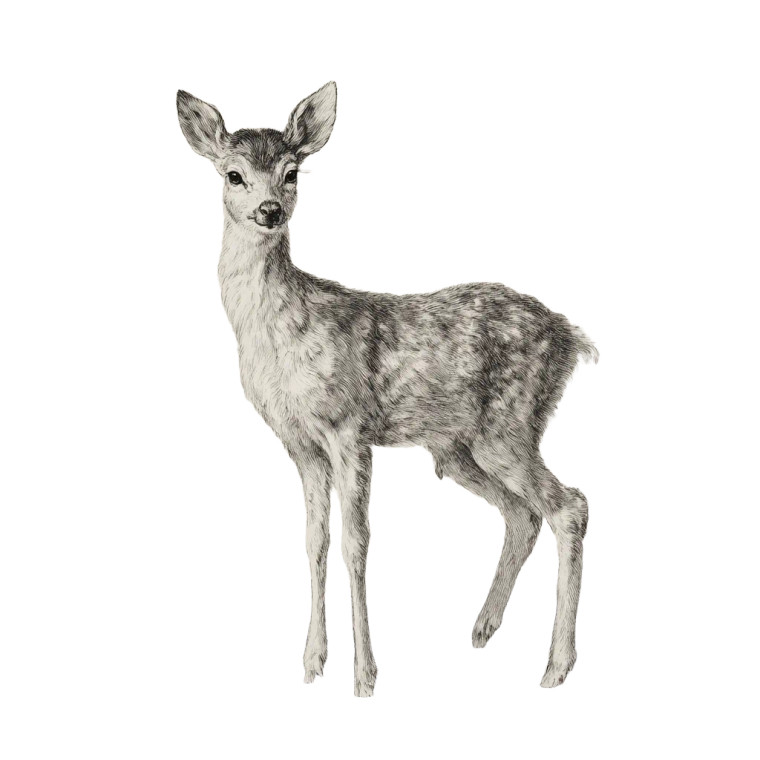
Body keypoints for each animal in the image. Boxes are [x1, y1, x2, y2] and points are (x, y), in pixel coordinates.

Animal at [177, 82, 597, 697]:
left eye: (291, 172)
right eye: (233, 174)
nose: (269, 210)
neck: (279, 334)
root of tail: (572, 336)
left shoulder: (349, 429)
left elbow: (357, 544)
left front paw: (365, 676)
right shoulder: (300, 444)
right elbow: (315, 541)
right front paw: (311, 663)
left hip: (509, 425)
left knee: (570, 504)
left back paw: (555, 666)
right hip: (458, 448)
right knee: (524, 514)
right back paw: (482, 629)